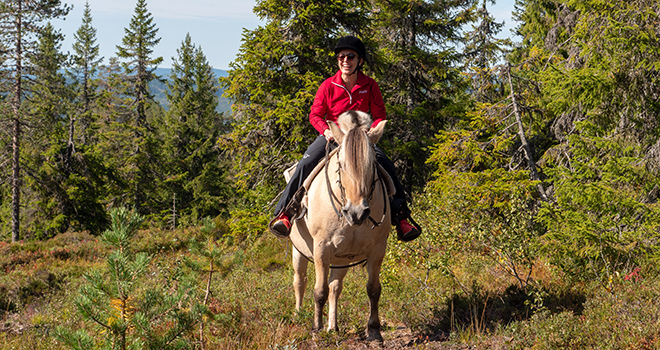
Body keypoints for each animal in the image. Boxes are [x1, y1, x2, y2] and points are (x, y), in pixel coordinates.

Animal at [288, 111, 392, 342]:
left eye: (372, 165)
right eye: (341, 164)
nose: (357, 212)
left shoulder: (377, 249)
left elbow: (373, 289)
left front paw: (374, 330)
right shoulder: (321, 248)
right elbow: (319, 291)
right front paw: (315, 328)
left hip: (342, 260)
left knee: (335, 287)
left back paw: (332, 327)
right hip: (299, 251)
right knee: (300, 280)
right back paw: (298, 315)